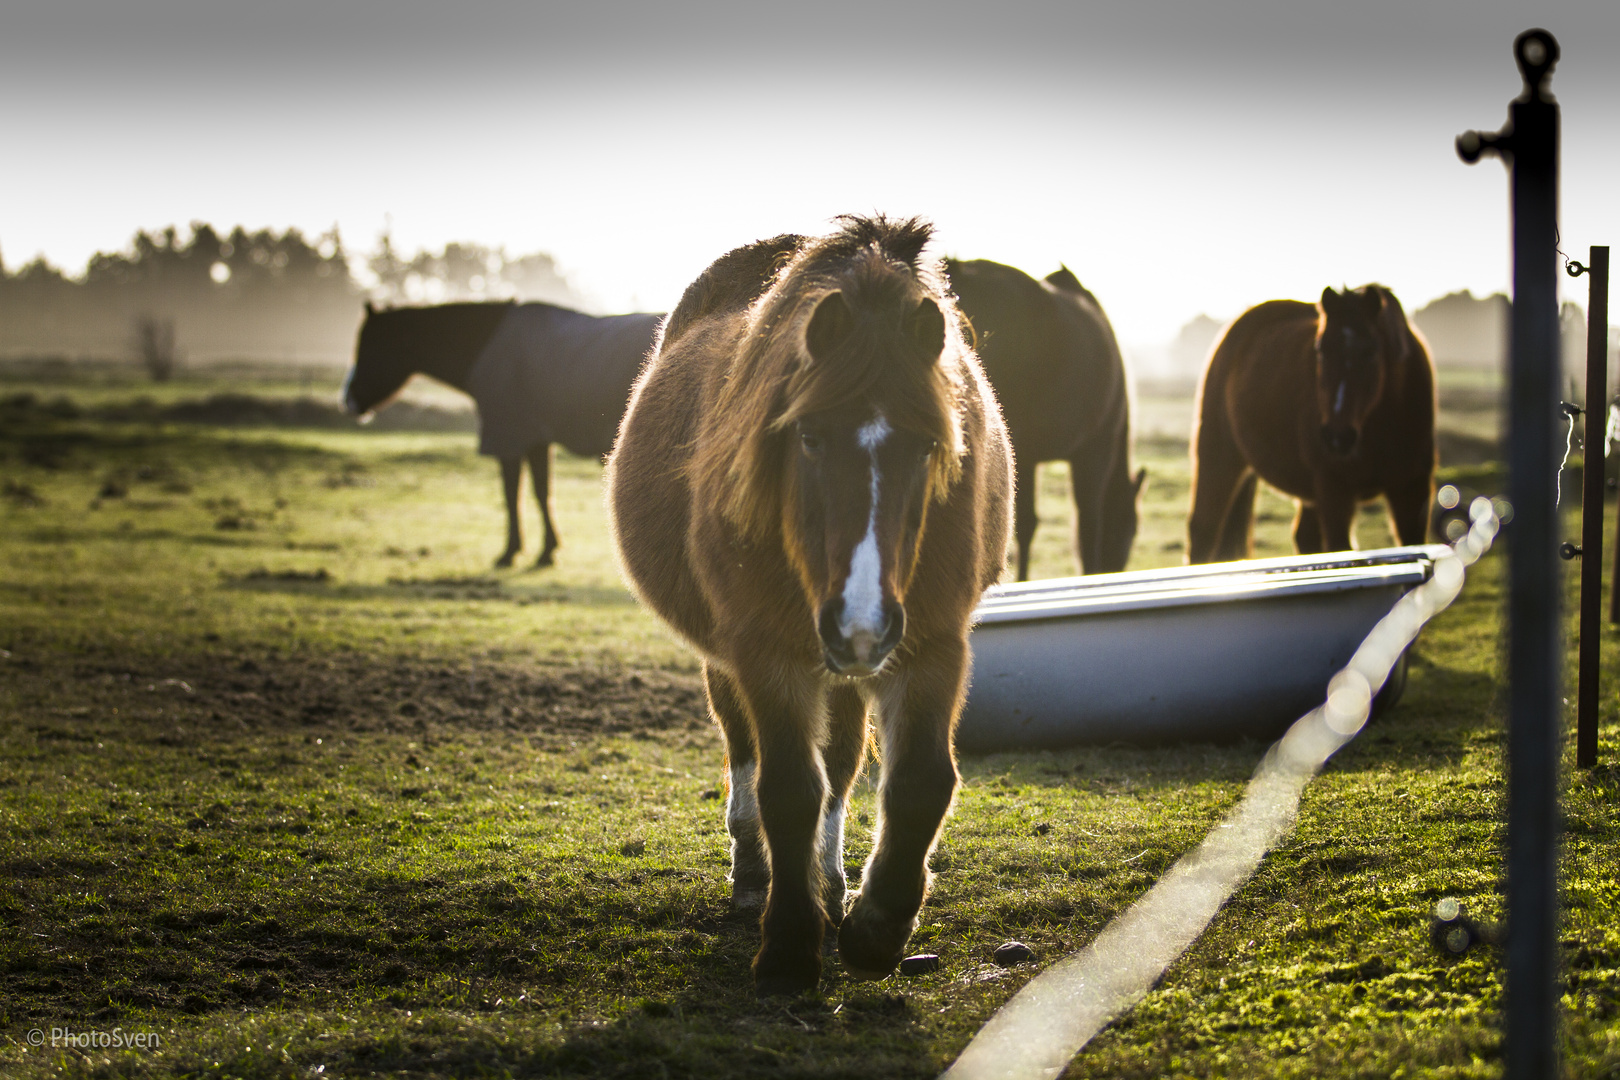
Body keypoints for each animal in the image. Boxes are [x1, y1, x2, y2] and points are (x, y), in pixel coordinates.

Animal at [342, 299, 660, 568]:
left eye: (369, 345)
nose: (348, 399)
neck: (486, 342)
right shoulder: (535, 440)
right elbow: (541, 492)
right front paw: (547, 550)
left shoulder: (509, 437)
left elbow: (512, 495)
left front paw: (512, 552)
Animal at [607, 216, 1012, 995]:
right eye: (810, 436)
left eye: (928, 446)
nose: (861, 626)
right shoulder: (767, 652)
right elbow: (788, 789)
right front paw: (790, 948)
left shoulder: (933, 646)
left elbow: (917, 783)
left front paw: (876, 930)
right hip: (742, 659)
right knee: (747, 758)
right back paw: (754, 878)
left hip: (850, 667)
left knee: (844, 768)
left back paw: (830, 882)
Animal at [947, 259, 1143, 579]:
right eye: (1129, 527)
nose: (1114, 569)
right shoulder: (1094, 452)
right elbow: (1087, 522)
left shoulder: (1027, 457)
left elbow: (1026, 524)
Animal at [1186, 284, 1436, 563]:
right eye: (1320, 350)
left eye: (1371, 351)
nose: (1337, 437)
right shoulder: (1334, 492)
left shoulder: (1412, 491)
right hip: (1219, 460)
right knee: (1203, 532)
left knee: (1304, 537)